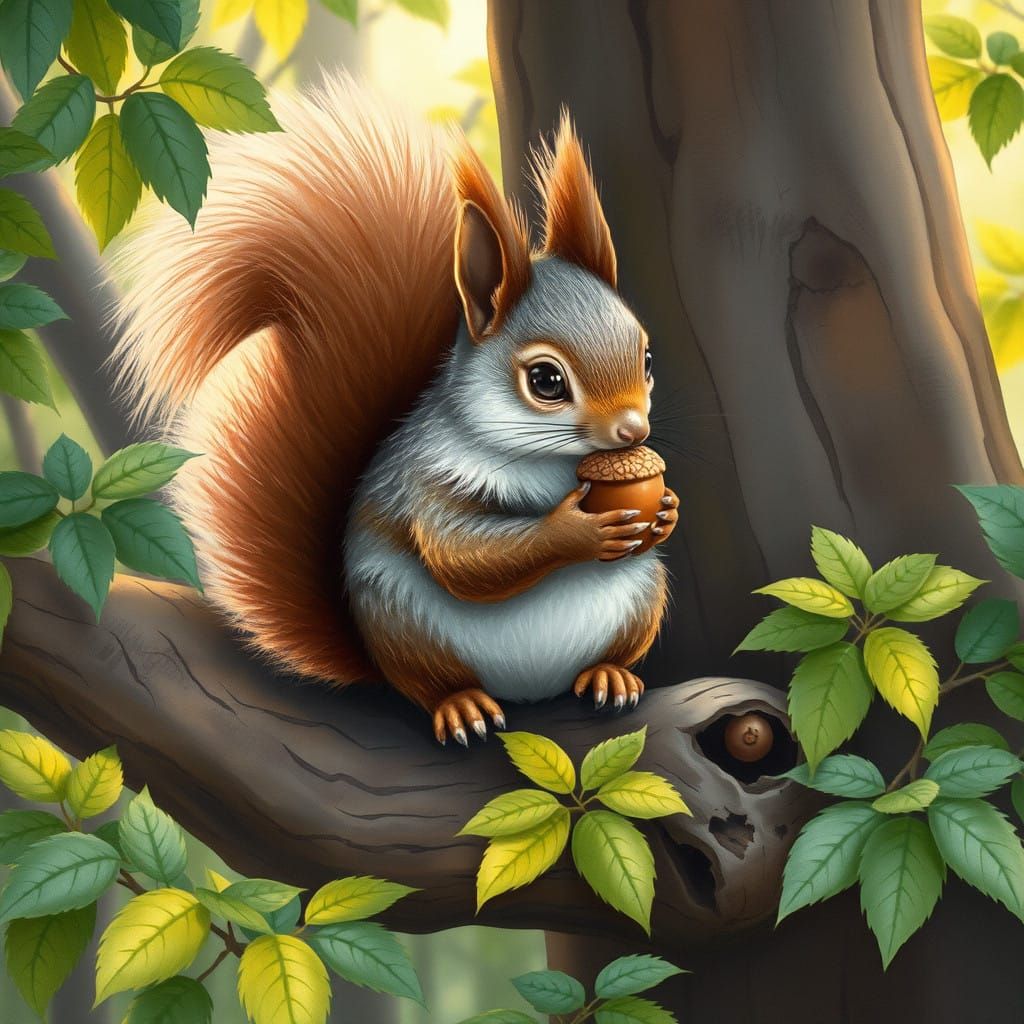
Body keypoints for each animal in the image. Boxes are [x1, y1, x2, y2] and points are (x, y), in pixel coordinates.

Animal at [113, 77, 679, 746]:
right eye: (545, 381)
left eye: (647, 356)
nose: (633, 430)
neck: (553, 463)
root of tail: (529, 690)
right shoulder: (427, 482)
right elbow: (464, 556)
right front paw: (577, 529)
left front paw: (665, 510)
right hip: (401, 620)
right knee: (431, 681)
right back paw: (461, 705)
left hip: (642, 595)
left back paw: (609, 674)